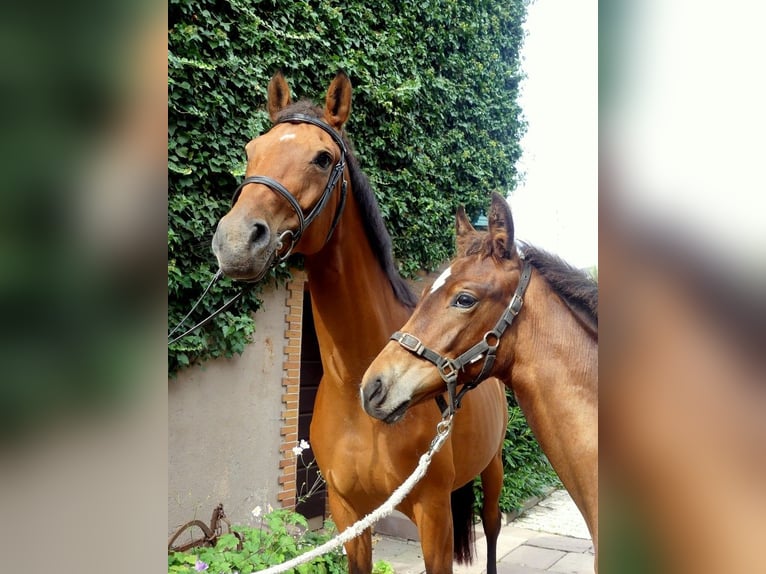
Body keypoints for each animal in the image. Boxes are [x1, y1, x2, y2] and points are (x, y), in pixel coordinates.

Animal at [210, 73, 510, 574]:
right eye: (252, 150)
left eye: (323, 157)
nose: (235, 242)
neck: (356, 387)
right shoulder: (348, 512)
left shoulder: (433, 515)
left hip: (495, 465)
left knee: (491, 526)